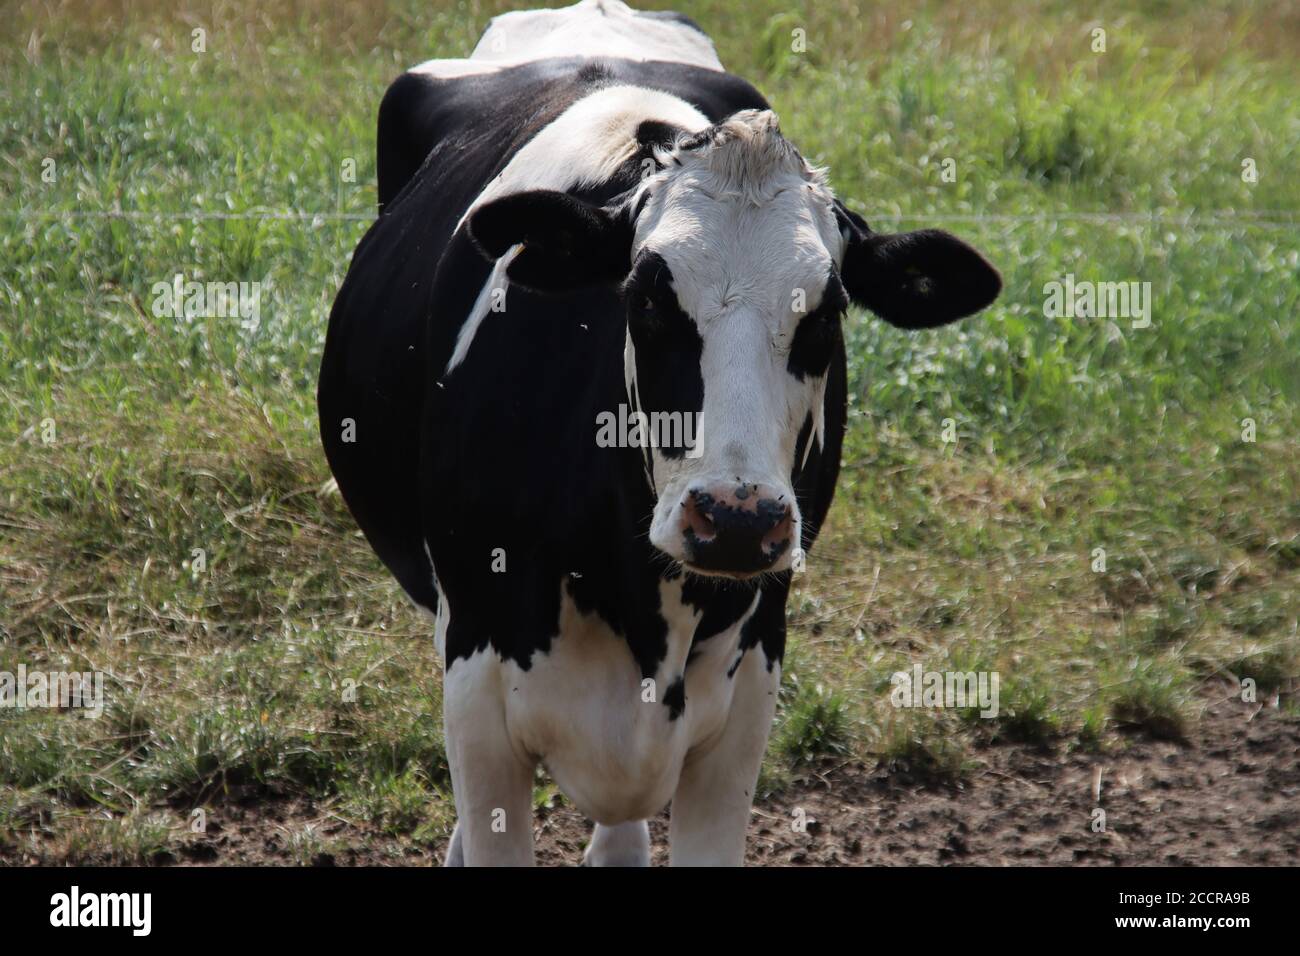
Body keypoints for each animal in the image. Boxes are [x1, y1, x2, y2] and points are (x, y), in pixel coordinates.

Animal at [317, 0, 1000, 866]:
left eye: (827, 311)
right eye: (645, 296)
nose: (737, 520)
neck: (636, 597)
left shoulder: (749, 689)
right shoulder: (475, 682)